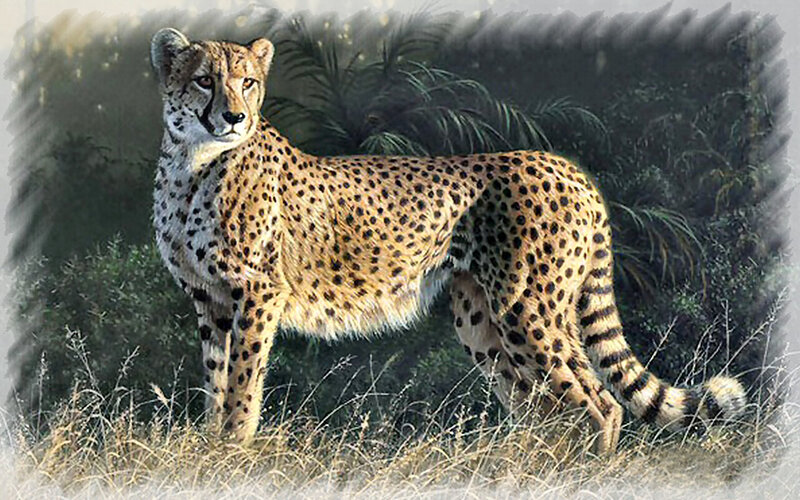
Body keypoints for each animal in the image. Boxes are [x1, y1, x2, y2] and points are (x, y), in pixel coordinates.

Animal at [149, 28, 746, 454]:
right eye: (204, 80)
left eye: (248, 81)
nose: (234, 116)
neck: (192, 164)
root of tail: (565, 166)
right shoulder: (209, 298)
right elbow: (215, 377)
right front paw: (209, 447)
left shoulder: (259, 292)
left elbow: (242, 381)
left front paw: (232, 452)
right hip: (480, 315)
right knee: (541, 405)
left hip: (527, 309)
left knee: (599, 401)